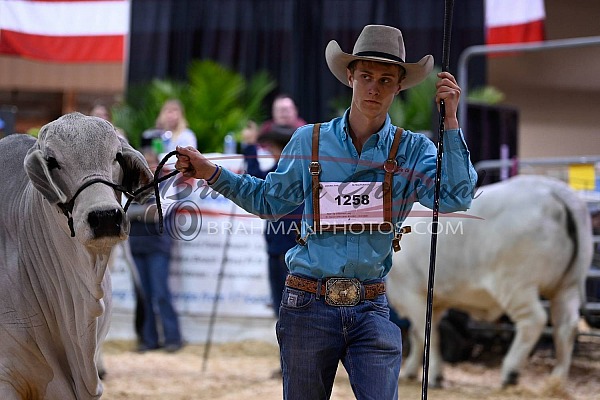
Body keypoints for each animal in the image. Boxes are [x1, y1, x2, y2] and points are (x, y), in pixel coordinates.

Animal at [386, 174, 592, 388]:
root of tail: (553, 189)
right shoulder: (434, 302)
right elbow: (418, 336)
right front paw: (410, 371)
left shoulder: (412, 294)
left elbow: (429, 337)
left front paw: (434, 376)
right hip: (568, 286)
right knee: (567, 326)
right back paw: (557, 380)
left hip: (516, 285)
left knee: (534, 320)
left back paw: (511, 372)